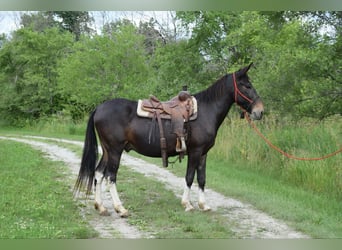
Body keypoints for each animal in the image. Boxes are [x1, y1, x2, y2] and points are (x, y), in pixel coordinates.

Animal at [73, 62, 264, 217]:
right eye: (247, 85)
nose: (260, 111)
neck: (205, 111)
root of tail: (99, 108)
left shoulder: (203, 154)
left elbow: (202, 178)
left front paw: (204, 205)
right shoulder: (195, 152)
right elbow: (189, 177)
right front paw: (187, 204)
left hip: (107, 150)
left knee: (98, 173)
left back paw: (101, 207)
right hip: (115, 150)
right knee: (110, 176)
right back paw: (120, 208)